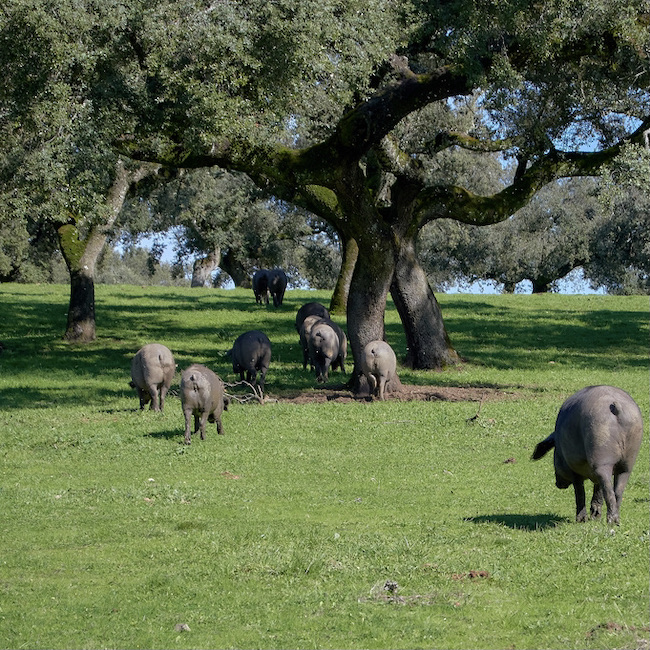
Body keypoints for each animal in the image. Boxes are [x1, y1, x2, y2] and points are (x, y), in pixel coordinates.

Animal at [528, 382, 640, 524]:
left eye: (554, 454)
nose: (558, 484)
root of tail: (616, 407)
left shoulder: (573, 468)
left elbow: (580, 491)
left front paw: (581, 520)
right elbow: (597, 490)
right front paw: (594, 517)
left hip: (601, 452)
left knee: (607, 487)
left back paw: (610, 520)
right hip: (628, 461)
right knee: (618, 490)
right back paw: (616, 520)